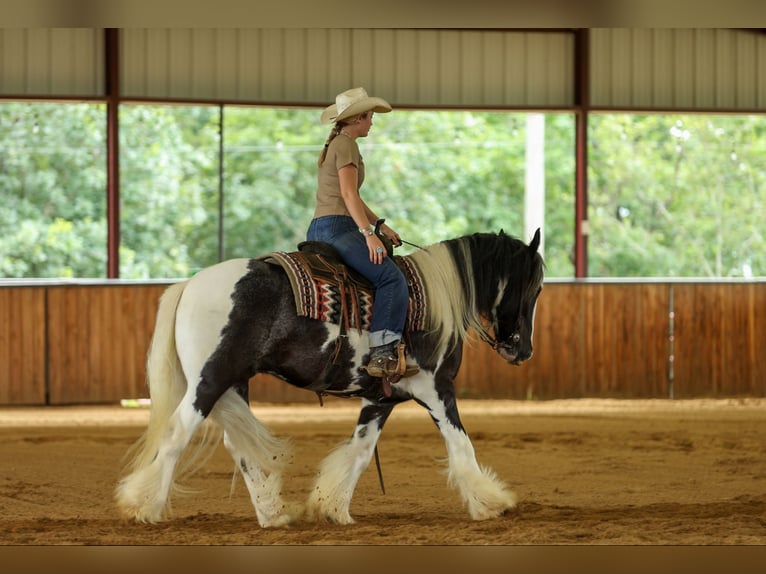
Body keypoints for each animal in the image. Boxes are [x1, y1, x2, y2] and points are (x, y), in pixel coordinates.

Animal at [115, 228, 544, 527]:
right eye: (535, 286)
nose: (521, 350)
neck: (437, 303)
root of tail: (190, 284)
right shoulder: (438, 390)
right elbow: (461, 445)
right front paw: (491, 503)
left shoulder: (380, 399)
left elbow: (360, 452)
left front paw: (331, 507)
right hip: (209, 380)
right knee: (176, 434)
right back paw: (144, 506)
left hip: (234, 383)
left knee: (239, 446)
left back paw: (272, 514)